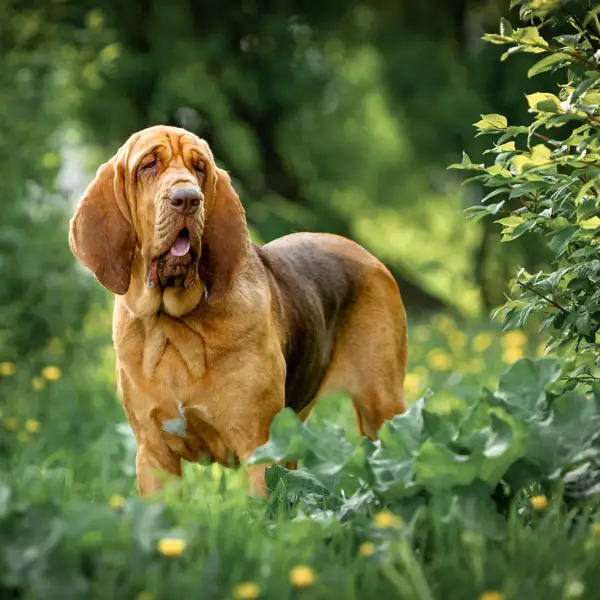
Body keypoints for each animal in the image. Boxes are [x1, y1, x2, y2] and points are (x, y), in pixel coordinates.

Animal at [69, 125, 408, 496]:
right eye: (148, 165)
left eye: (200, 168)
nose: (187, 199)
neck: (174, 325)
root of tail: (369, 256)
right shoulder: (154, 455)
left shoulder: (258, 447)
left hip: (382, 408)